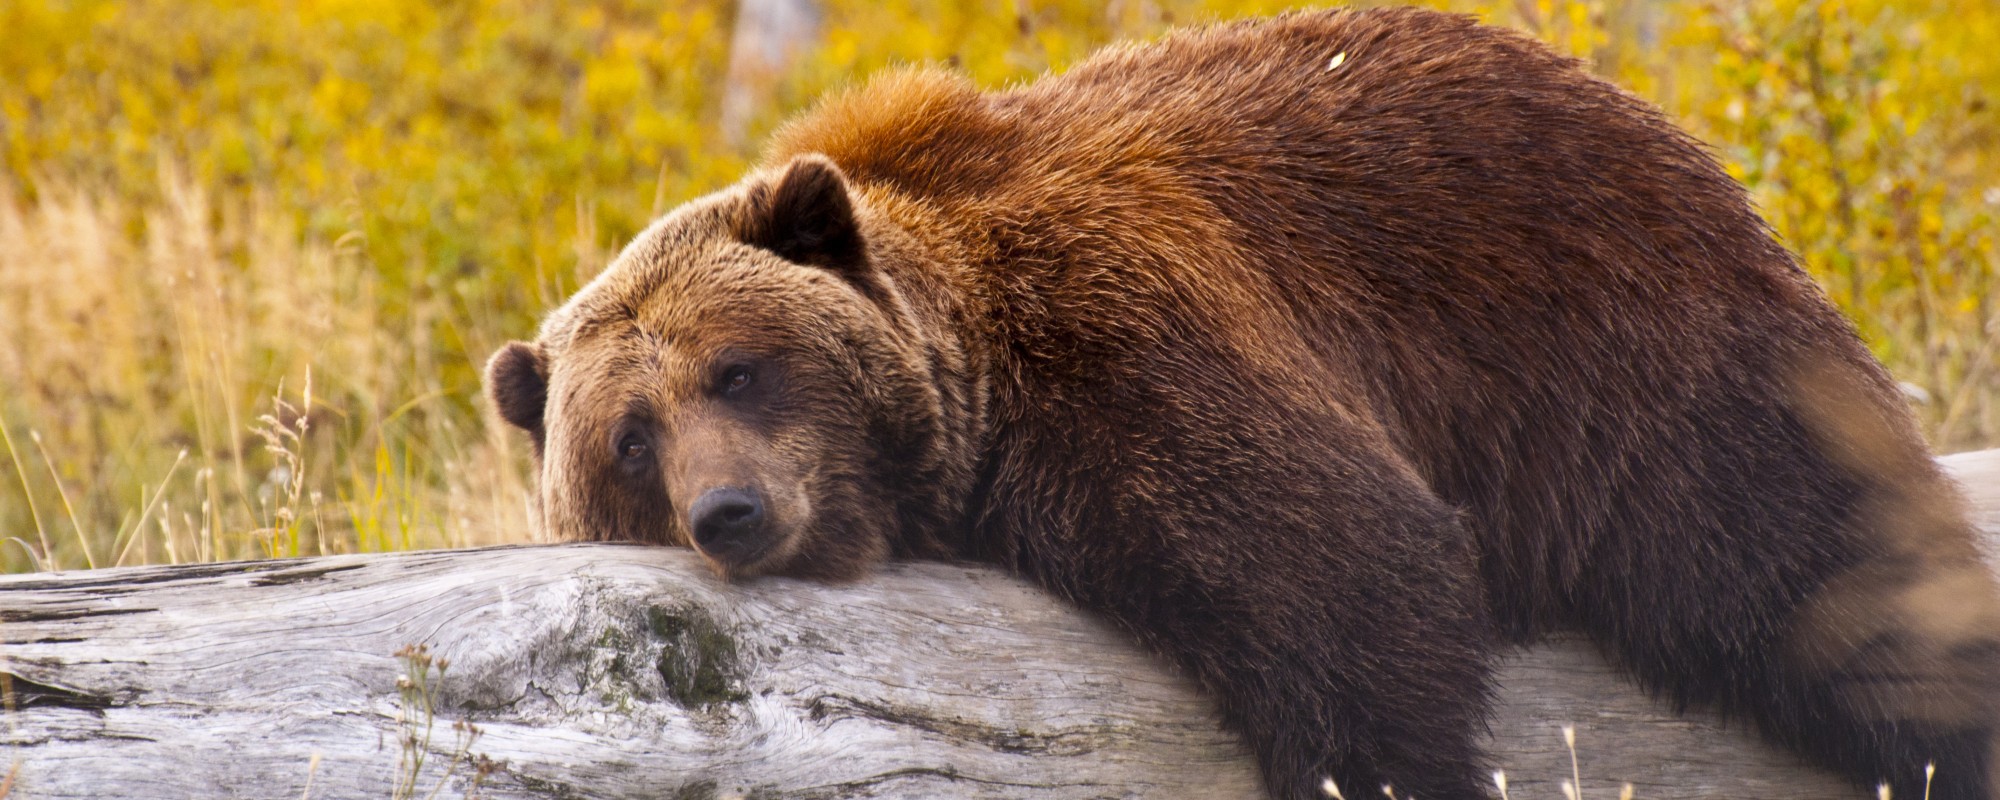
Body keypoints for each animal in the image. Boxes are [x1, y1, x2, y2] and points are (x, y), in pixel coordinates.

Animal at [484, 7, 2000, 799]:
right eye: (629, 437)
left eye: (737, 365)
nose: (731, 510)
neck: (986, 393)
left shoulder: (1128, 336)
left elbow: (1342, 575)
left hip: (1638, 361)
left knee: (1830, 581)